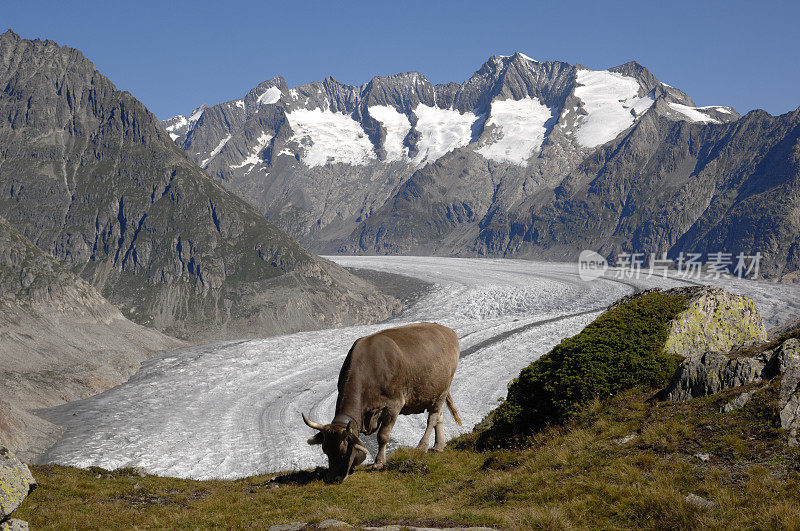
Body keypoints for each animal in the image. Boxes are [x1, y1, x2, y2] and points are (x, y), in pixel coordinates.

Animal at [302, 322, 462, 484]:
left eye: (343, 452)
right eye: (325, 451)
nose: (332, 478)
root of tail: (447, 330)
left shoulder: (394, 405)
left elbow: (383, 435)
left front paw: (378, 463)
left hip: (443, 390)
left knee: (432, 418)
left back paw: (422, 446)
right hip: (435, 393)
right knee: (439, 417)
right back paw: (438, 446)